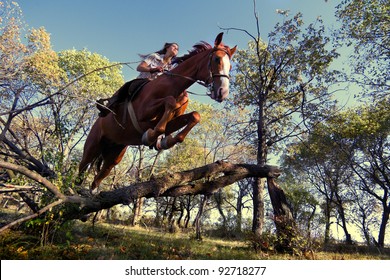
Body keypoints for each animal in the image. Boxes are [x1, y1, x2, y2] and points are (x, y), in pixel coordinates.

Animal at [78, 32, 238, 194]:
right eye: (217, 59)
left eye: (230, 66)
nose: (222, 92)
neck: (173, 85)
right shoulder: (143, 112)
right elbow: (169, 103)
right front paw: (151, 136)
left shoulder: (171, 121)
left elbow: (194, 116)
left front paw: (166, 141)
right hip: (92, 146)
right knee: (81, 170)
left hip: (114, 153)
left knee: (100, 176)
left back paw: (91, 193)